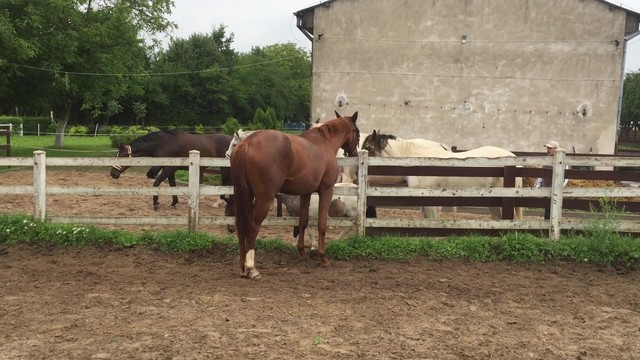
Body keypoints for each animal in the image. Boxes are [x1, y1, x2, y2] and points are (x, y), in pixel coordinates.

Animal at [230, 112, 360, 278]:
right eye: (357, 132)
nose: (354, 152)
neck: (325, 144)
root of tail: (247, 143)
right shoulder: (326, 190)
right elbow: (321, 225)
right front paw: (323, 258)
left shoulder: (305, 193)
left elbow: (303, 222)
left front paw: (302, 253)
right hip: (264, 199)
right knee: (252, 228)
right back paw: (252, 269)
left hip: (244, 196)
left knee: (242, 228)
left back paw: (242, 267)